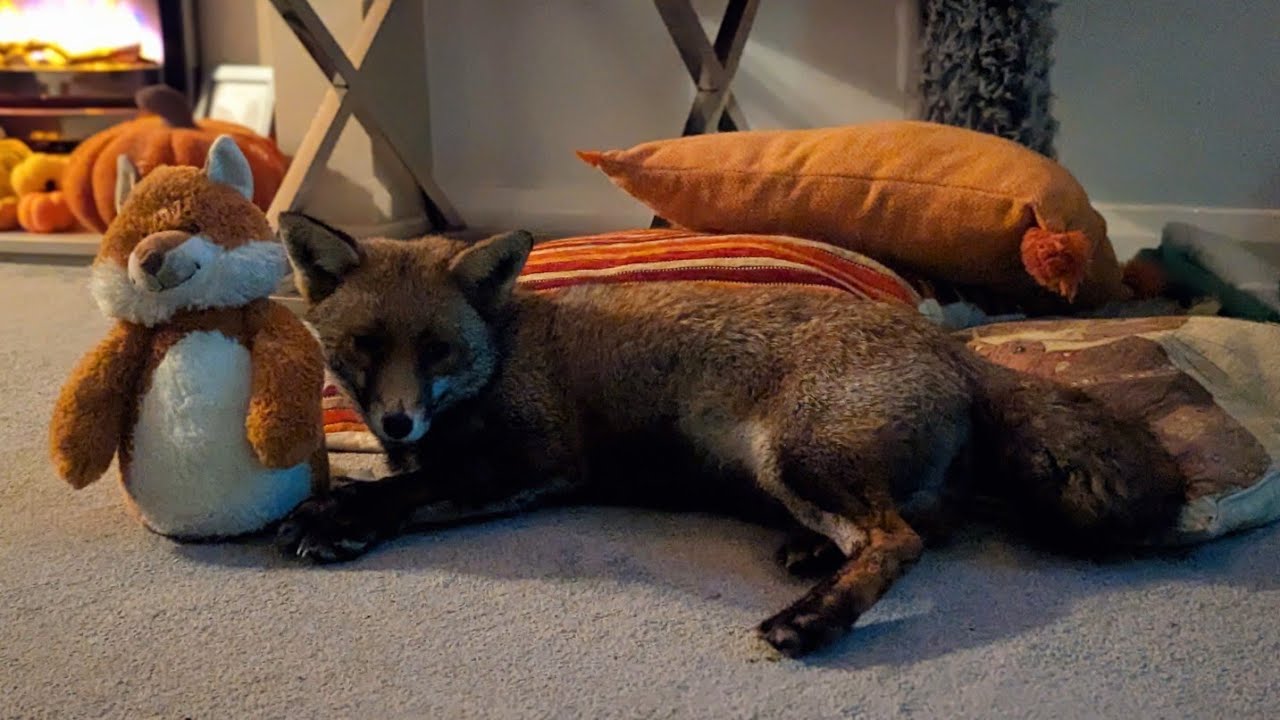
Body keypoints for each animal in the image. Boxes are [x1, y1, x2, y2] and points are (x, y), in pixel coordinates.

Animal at [275, 213, 1186, 658]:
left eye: (436, 350)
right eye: (365, 346)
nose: (397, 419)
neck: (503, 350)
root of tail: (950, 345)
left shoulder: (542, 459)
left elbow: (413, 488)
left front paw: (338, 515)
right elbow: (405, 476)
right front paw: (348, 500)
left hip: (798, 454)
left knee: (900, 542)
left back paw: (813, 622)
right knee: (923, 524)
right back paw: (815, 560)